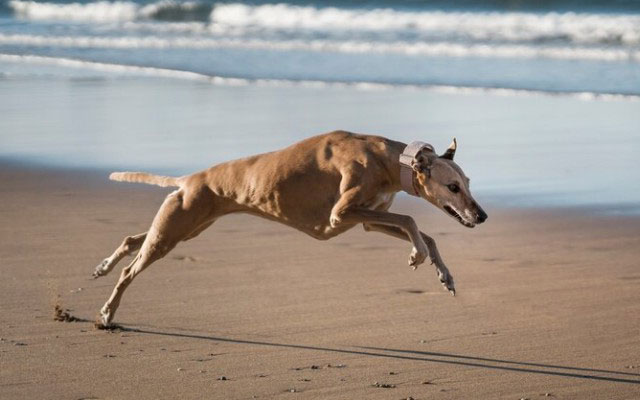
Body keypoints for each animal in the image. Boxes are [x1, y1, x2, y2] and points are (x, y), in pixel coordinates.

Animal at [92, 131, 488, 328]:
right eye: (453, 187)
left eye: (468, 183)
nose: (482, 216)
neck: (389, 160)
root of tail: (189, 179)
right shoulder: (341, 214)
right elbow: (411, 221)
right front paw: (417, 255)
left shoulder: (367, 219)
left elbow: (422, 231)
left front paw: (444, 275)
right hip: (176, 229)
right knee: (131, 269)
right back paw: (107, 313)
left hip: (186, 226)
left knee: (133, 239)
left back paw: (103, 267)